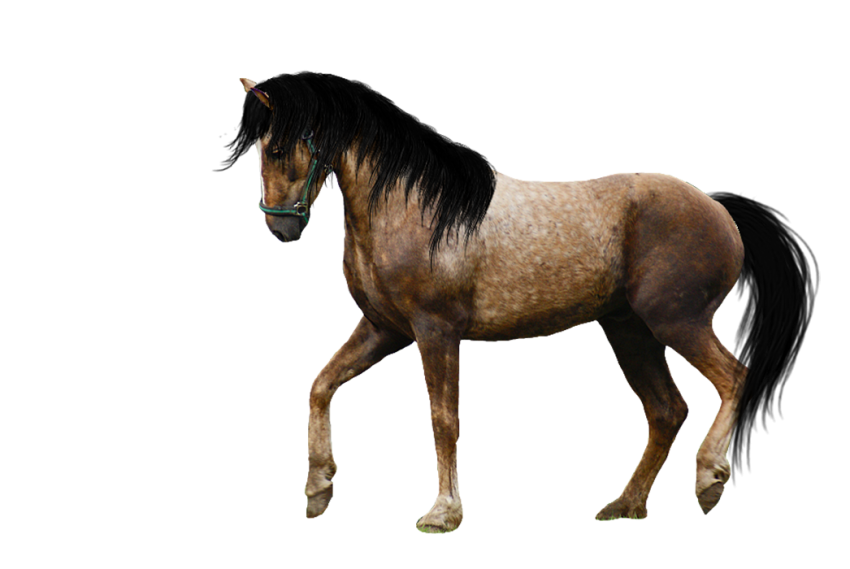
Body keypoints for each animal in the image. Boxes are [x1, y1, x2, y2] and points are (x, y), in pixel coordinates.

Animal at [212, 70, 821, 534]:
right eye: (258, 149)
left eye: (281, 146)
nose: (281, 227)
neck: (416, 205)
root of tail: (717, 207)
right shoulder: (385, 329)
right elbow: (321, 385)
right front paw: (318, 489)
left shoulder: (435, 332)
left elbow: (444, 419)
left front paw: (443, 513)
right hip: (629, 331)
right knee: (667, 410)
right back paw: (625, 505)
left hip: (677, 322)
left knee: (733, 379)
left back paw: (707, 479)